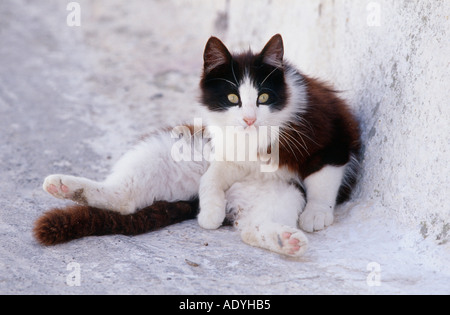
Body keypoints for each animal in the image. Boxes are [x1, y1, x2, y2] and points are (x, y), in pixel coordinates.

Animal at [33, 34, 360, 258]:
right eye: (232, 98)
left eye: (264, 97)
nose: (250, 118)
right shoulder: (226, 149)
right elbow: (213, 175)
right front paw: (210, 213)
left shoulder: (333, 133)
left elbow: (324, 176)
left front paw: (317, 213)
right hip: (175, 150)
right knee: (125, 197)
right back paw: (64, 185)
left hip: (282, 193)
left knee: (253, 228)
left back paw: (285, 240)